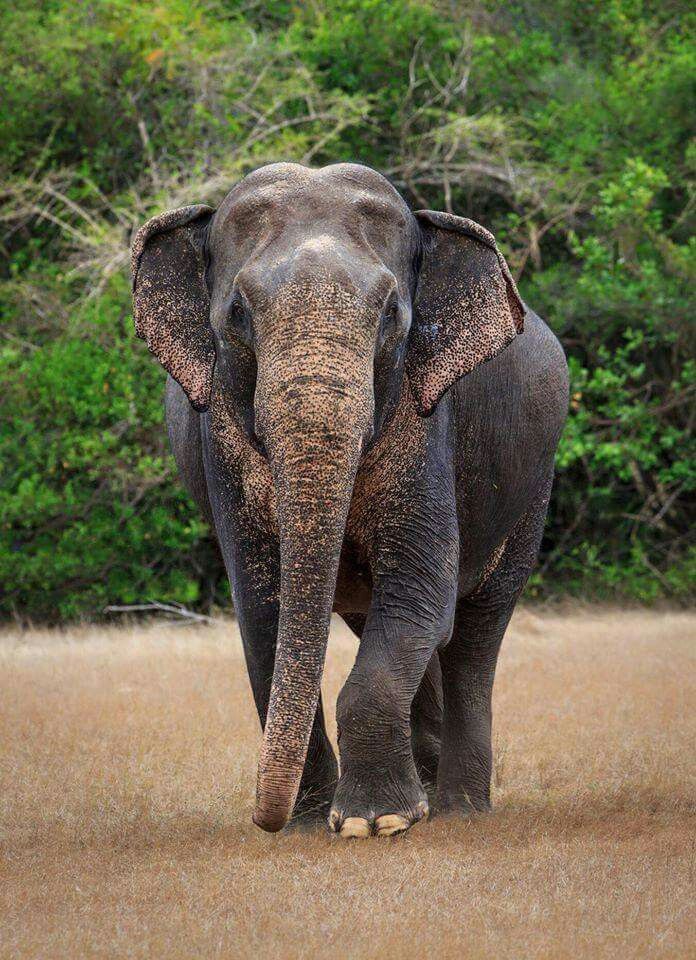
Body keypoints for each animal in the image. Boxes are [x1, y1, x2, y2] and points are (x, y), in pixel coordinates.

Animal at [131, 162, 568, 838]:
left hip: (531, 490)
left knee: (475, 630)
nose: (263, 819)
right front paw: (314, 826)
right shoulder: (221, 443)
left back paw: (459, 808)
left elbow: (418, 591)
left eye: (390, 314)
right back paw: (428, 789)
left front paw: (374, 823)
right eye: (237, 313)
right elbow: (263, 610)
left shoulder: (426, 421)